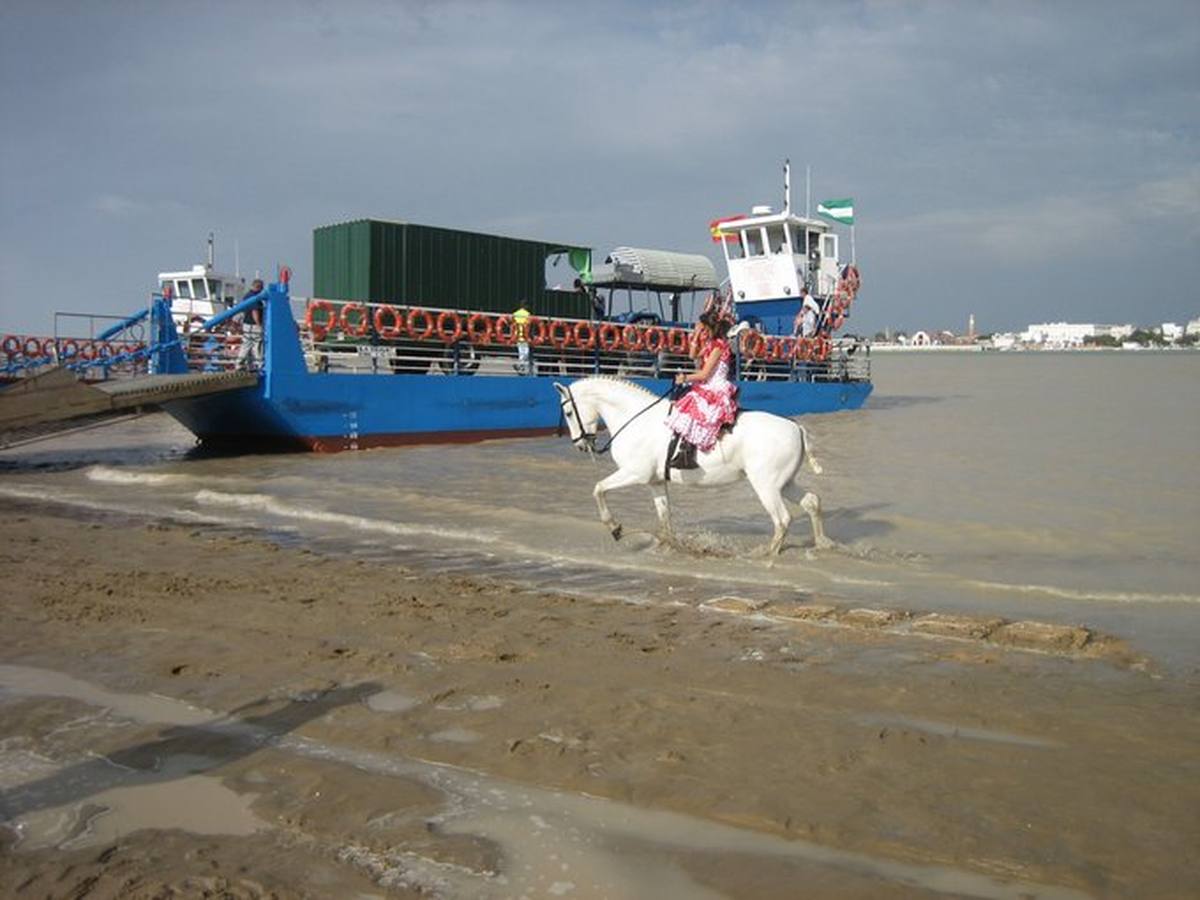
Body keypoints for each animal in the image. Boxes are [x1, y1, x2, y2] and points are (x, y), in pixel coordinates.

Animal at [549, 374, 825, 556]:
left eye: (569, 413)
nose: (580, 445)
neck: (634, 418)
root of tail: (795, 427)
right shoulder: (655, 482)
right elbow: (665, 517)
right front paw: (668, 545)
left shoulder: (634, 474)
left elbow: (598, 488)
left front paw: (614, 527)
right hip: (784, 483)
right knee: (811, 502)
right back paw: (822, 543)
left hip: (765, 485)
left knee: (782, 519)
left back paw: (766, 555)